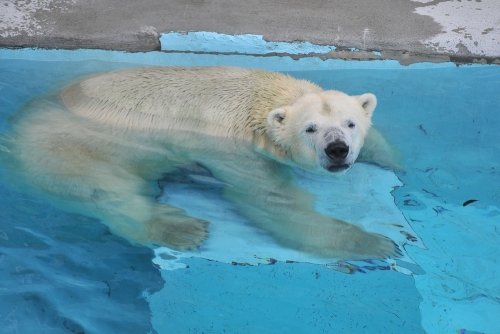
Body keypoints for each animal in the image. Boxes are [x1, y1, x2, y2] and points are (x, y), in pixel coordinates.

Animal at [5, 65, 400, 258]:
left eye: (350, 123)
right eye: (310, 129)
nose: (338, 150)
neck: (263, 94)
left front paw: (393, 160)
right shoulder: (236, 150)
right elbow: (273, 202)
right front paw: (372, 244)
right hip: (63, 147)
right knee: (103, 190)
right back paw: (179, 228)